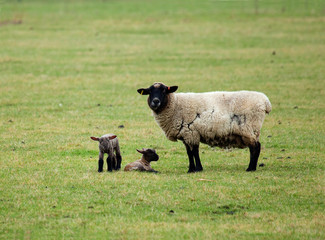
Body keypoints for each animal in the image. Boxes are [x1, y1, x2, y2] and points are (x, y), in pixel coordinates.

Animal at [137, 82, 270, 172]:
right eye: (149, 91)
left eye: (164, 90)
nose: (155, 101)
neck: (175, 105)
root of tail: (265, 102)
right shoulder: (186, 134)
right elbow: (189, 152)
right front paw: (191, 169)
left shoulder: (192, 132)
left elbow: (194, 152)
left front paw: (197, 169)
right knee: (255, 147)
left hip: (250, 128)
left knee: (256, 147)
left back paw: (251, 168)